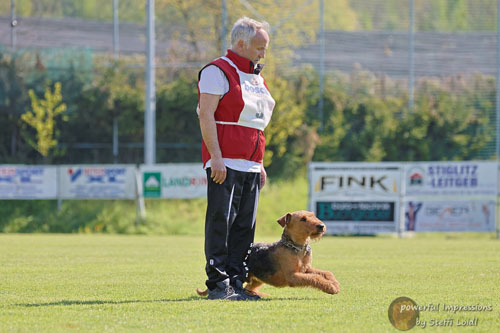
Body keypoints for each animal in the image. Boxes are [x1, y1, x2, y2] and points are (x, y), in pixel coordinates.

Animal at [197, 210, 342, 296]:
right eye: (303, 219)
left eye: (313, 216)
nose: (321, 226)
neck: (297, 247)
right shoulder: (293, 275)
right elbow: (315, 278)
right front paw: (331, 287)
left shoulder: (306, 269)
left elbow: (325, 273)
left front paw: (334, 283)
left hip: (258, 278)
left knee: (250, 287)